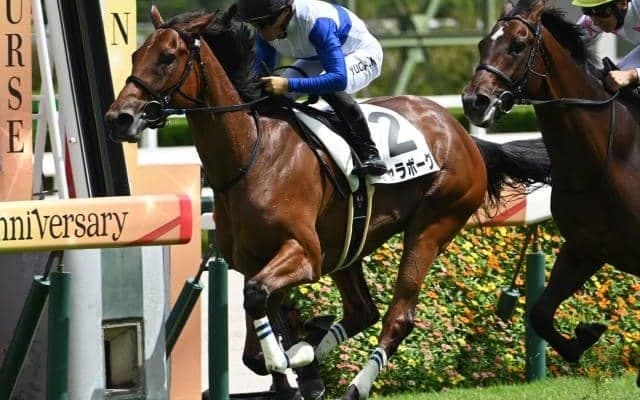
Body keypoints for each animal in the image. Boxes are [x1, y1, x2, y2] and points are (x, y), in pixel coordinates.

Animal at [106, 5, 551, 399]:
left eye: (167, 57)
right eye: (136, 54)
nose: (119, 117)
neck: (252, 154)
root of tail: (463, 135)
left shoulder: (304, 254)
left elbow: (257, 300)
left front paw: (292, 362)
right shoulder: (255, 260)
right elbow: (255, 340)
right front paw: (298, 370)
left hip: (432, 225)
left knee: (397, 317)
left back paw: (353, 386)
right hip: (347, 245)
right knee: (362, 311)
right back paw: (312, 358)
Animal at [462, 0, 640, 383]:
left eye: (518, 45)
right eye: (483, 43)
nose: (474, 102)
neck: (608, 157)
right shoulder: (585, 248)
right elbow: (540, 314)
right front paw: (585, 335)